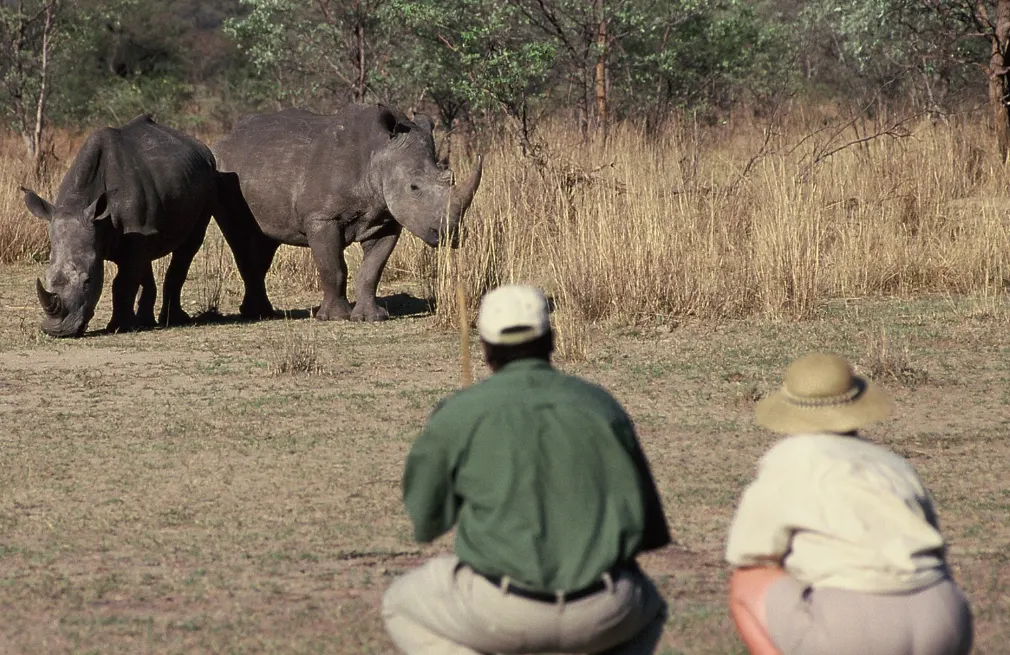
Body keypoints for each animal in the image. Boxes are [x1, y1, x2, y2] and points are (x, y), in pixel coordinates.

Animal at [22, 114, 218, 337]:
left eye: (88, 281)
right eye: (47, 277)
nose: (57, 330)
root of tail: (201, 147)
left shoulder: (135, 234)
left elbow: (123, 282)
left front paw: (118, 327)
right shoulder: (136, 232)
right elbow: (134, 274)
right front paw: (132, 324)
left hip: (210, 176)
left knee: (189, 245)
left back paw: (174, 320)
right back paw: (146, 322)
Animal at [212, 103, 483, 321]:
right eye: (414, 187)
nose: (450, 234)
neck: (379, 153)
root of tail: (226, 139)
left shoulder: (386, 221)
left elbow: (372, 270)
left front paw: (371, 318)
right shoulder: (322, 218)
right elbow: (334, 268)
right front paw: (335, 317)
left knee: (264, 242)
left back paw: (261, 313)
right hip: (224, 170)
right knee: (240, 238)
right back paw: (258, 314)